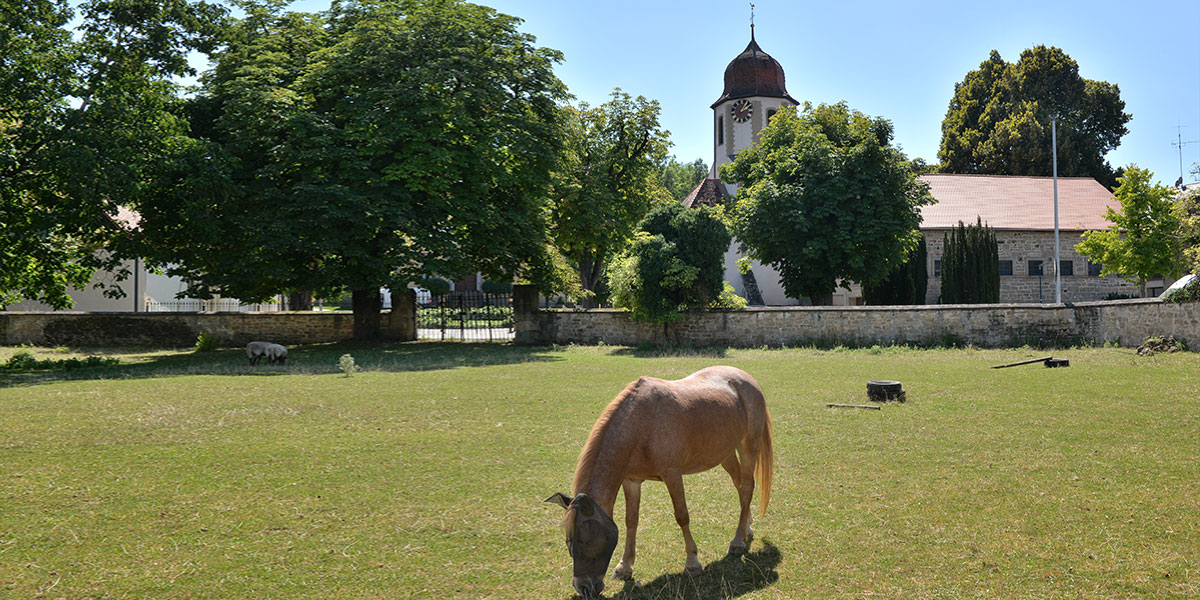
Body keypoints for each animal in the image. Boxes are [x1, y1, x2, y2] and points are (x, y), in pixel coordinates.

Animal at [546, 366, 774, 597]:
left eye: (586, 540)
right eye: (568, 540)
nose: (584, 587)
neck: (641, 424)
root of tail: (745, 378)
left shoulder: (672, 475)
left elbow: (682, 516)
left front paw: (692, 563)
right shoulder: (631, 481)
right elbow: (631, 520)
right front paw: (624, 567)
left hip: (748, 447)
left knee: (747, 488)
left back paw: (737, 542)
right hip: (725, 454)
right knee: (740, 487)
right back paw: (746, 529)